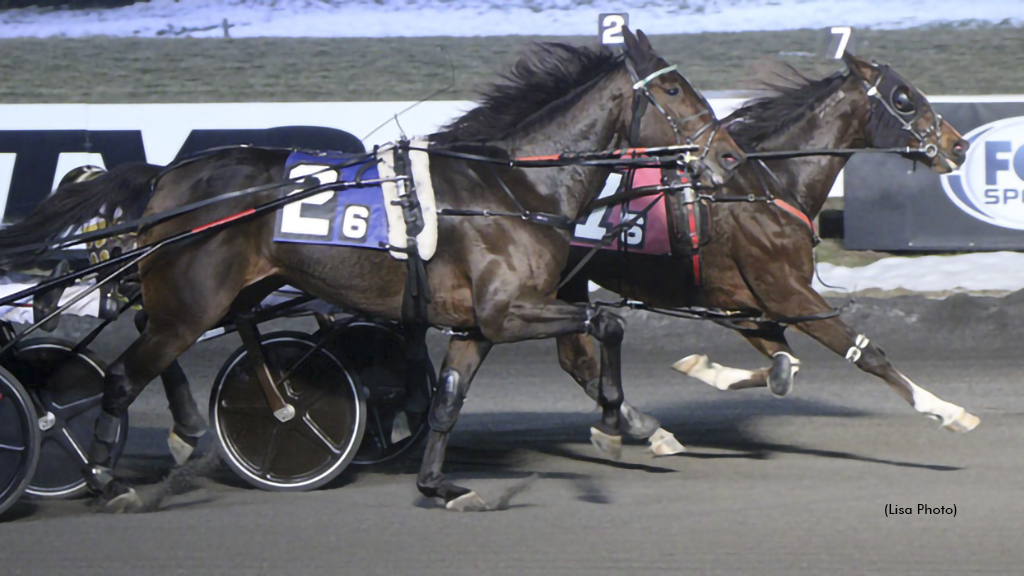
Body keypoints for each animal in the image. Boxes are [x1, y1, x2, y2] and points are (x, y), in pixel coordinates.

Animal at [0, 29, 745, 508]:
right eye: (674, 90)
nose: (730, 157)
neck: (512, 189)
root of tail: (167, 176)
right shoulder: (508, 311)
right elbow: (606, 324)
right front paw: (621, 422)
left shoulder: (478, 325)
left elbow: (448, 399)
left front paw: (439, 484)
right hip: (190, 301)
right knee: (123, 376)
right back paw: (107, 479)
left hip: (210, 295)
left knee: (157, 348)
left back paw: (185, 435)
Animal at [557, 52, 978, 438]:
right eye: (903, 98)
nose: (959, 146)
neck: (765, 188)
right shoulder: (784, 292)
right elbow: (865, 353)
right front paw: (948, 410)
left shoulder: (741, 302)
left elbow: (784, 367)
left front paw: (704, 368)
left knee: (576, 359)